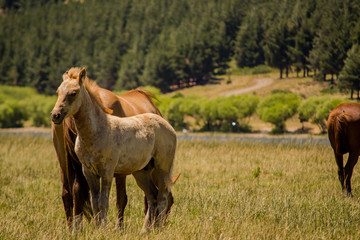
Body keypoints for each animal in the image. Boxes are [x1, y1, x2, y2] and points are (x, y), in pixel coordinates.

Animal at [50, 68, 177, 232]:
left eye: (73, 93)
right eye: (58, 91)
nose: (55, 115)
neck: (97, 130)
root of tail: (167, 124)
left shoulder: (108, 170)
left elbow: (104, 202)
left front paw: (103, 229)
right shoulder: (88, 171)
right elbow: (95, 202)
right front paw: (97, 228)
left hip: (162, 167)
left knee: (162, 195)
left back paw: (158, 228)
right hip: (142, 172)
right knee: (152, 196)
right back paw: (145, 230)